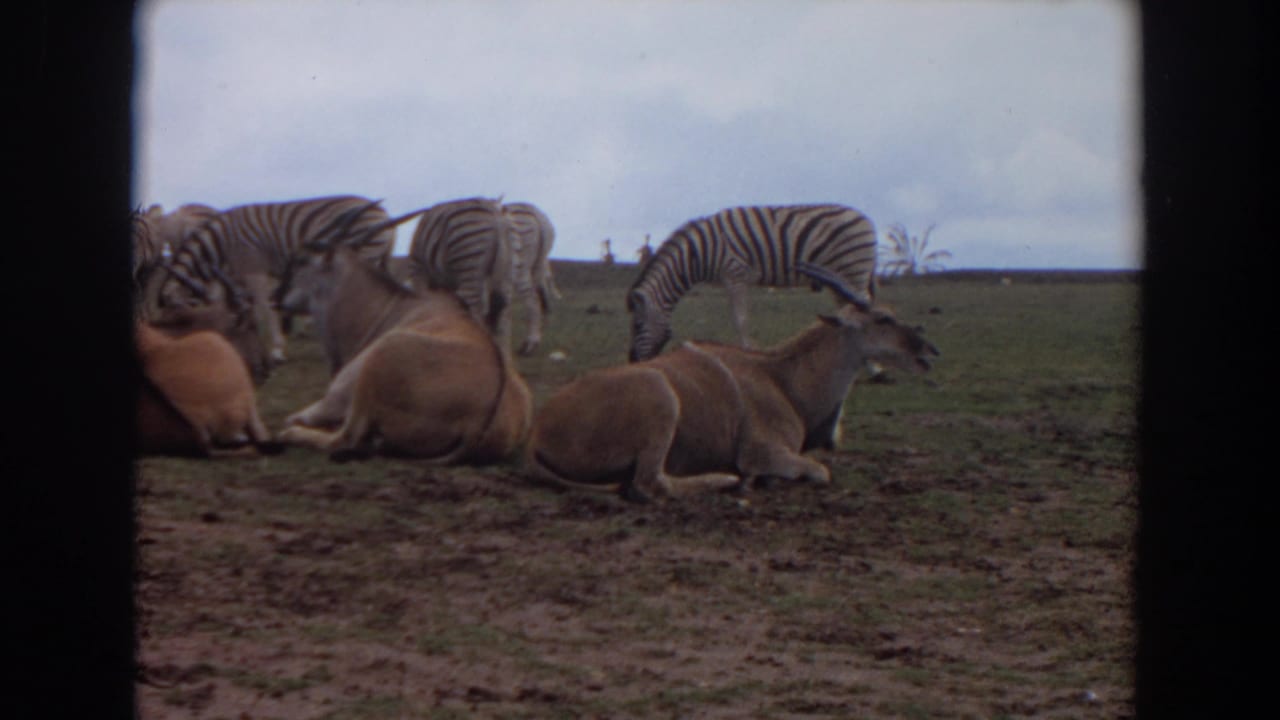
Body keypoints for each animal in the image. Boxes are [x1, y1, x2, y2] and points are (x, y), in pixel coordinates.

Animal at [158, 194, 396, 365]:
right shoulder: (234, 277)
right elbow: (240, 306)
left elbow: (265, 307)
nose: (173, 351)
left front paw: (276, 351)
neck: (219, 245)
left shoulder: (256, 271)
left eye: (180, 320)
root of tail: (383, 212)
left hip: (366, 254)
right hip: (378, 258)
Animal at [407, 196, 515, 350]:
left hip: (469, 261)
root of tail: (496, 212)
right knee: (504, 322)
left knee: (478, 312)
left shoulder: (419, 273)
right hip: (505, 271)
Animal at [502, 201, 561, 356]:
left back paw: (529, 345)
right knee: (541, 300)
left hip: (520, 267)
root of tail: (535, 212)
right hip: (538, 264)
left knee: (533, 301)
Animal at [626, 203, 879, 362]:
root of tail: (866, 219)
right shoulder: (729, 279)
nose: (633, 360)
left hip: (854, 270)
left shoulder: (735, 274)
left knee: (864, 307)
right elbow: (738, 318)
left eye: (637, 326)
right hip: (841, 277)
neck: (699, 253)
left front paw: (747, 351)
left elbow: (740, 320)